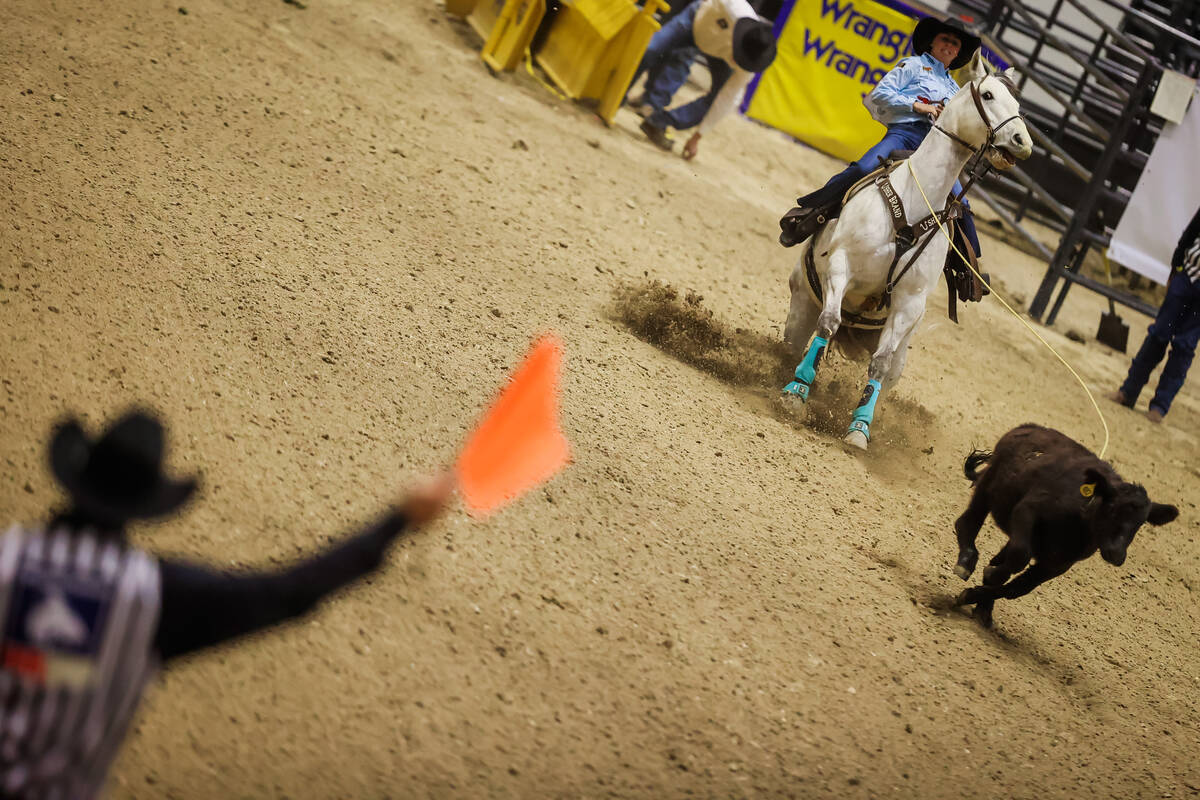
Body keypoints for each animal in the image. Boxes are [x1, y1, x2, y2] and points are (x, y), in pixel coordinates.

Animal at [777, 63, 1032, 450]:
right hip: (801, 307)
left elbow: (879, 364)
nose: (1022, 142)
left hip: (900, 352)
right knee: (798, 342)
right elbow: (828, 323)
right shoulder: (840, 266)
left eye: (1018, 103)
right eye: (988, 95)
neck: (913, 202)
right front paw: (796, 392)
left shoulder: (909, 302)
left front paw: (859, 429)